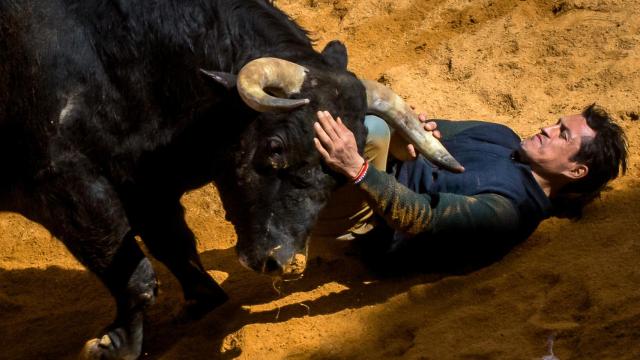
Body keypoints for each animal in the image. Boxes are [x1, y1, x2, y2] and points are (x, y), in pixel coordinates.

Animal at [0, 1, 460, 358]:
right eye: (275, 147)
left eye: (340, 167)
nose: (281, 263)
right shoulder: (65, 185)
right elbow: (131, 270)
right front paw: (116, 346)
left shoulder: (147, 184)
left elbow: (173, 245)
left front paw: (202, 300)